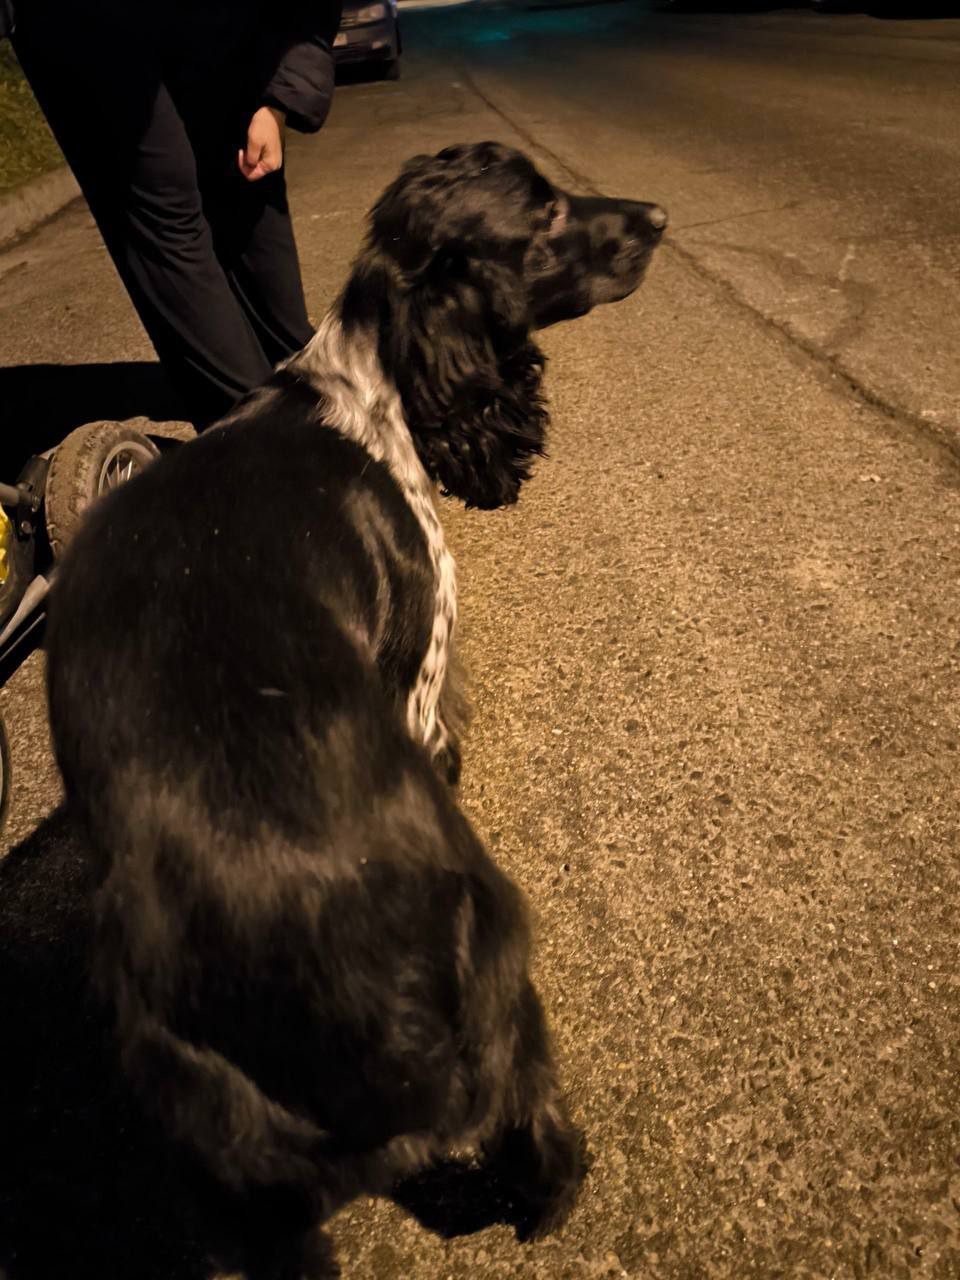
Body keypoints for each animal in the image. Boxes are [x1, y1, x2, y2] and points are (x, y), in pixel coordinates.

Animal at [44, 141, 666, 1279]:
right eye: (546, 211)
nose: (658, 216)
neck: (370, 381)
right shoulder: (420, 681)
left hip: (252, 1195)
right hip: (497, 964)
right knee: (532, 1115)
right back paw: (554, 1192)